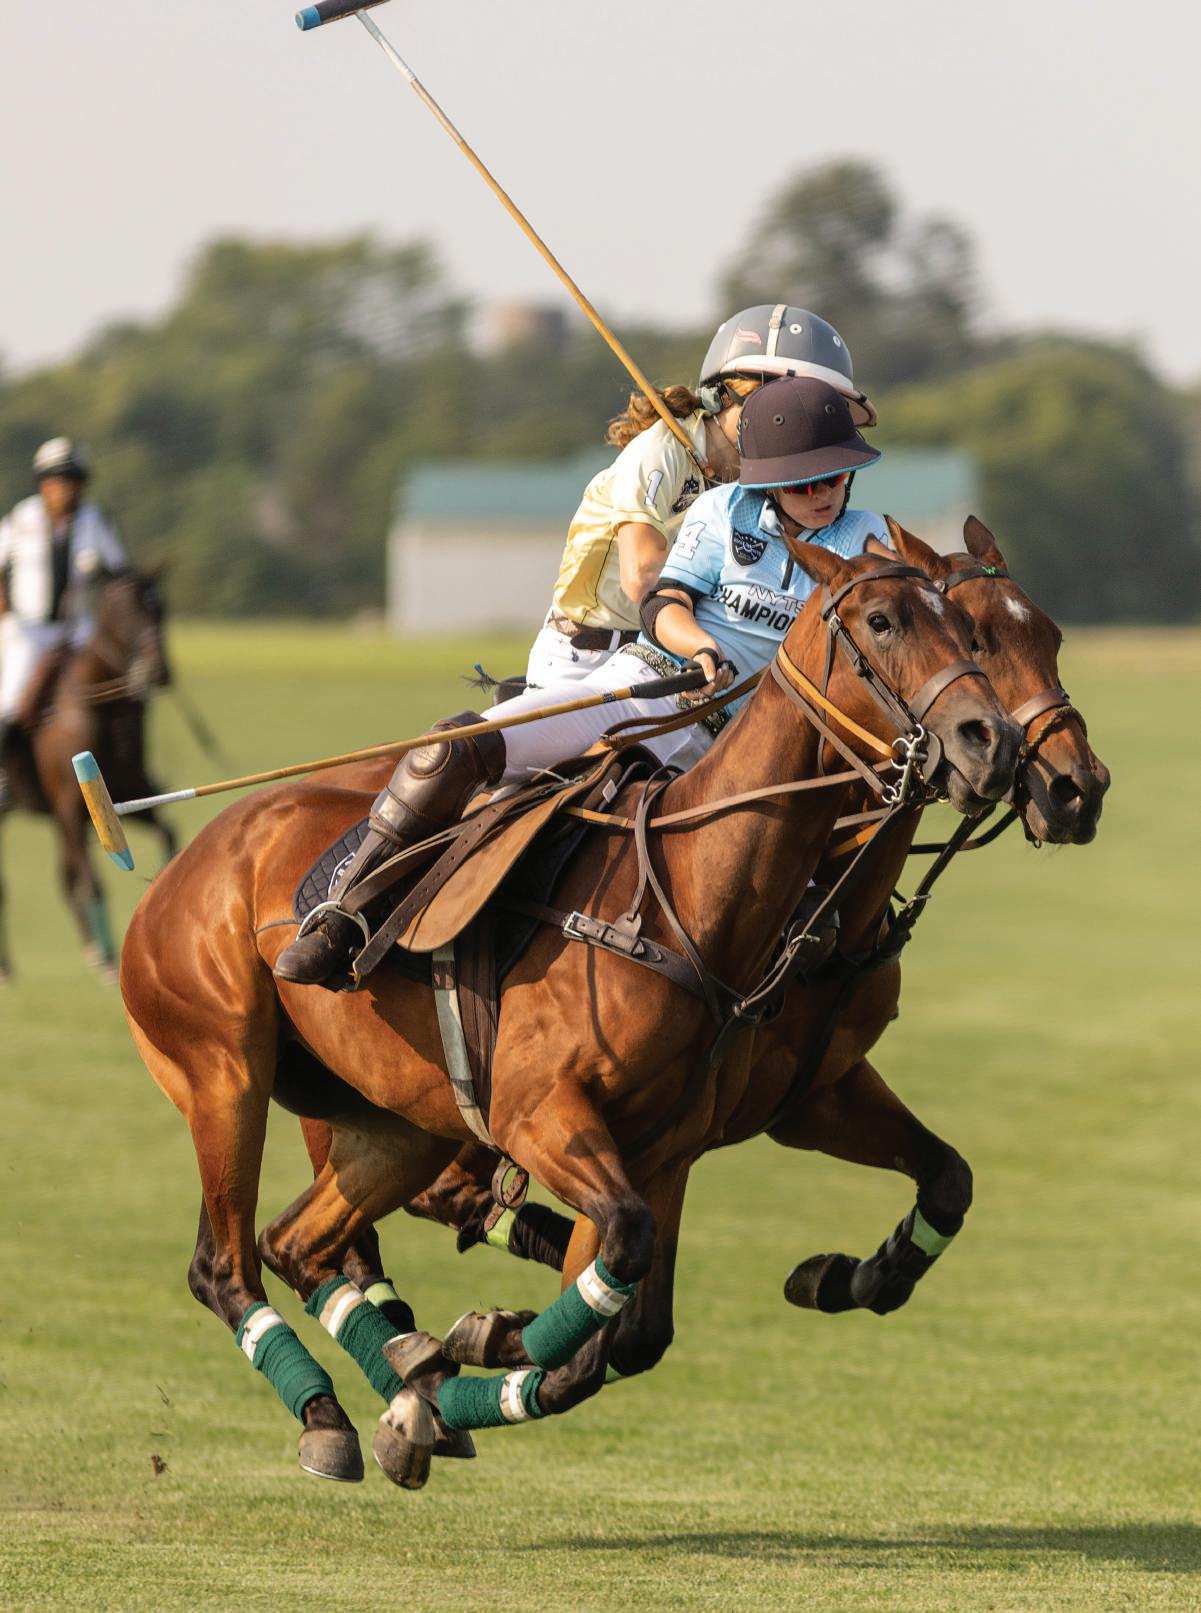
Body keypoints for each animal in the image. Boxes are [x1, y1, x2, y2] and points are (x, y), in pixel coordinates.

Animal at [0, 568, 173, 980]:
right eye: (125, 612)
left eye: (162, 608)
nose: (160, 671)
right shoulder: (69, 808)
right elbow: (92, 881)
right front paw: (110, 961)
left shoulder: (130, 796)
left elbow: (168, 832)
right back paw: (9, 965)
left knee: (64, 878)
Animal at [119, 542, 1020, 1485]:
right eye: (882, 621)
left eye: (967, 628)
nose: (994, 744)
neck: (687, 898)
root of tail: (187, 860)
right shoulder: (540, 1111)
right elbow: (606, 1286)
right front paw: (472, 1358)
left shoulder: (678, 1143)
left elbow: (627, 1324)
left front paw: (453, 1376)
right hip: (223, 1073)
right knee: (224, 1264)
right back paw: (338, 1410)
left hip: (394, 1125)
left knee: (298, 1242)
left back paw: (391, 1387)